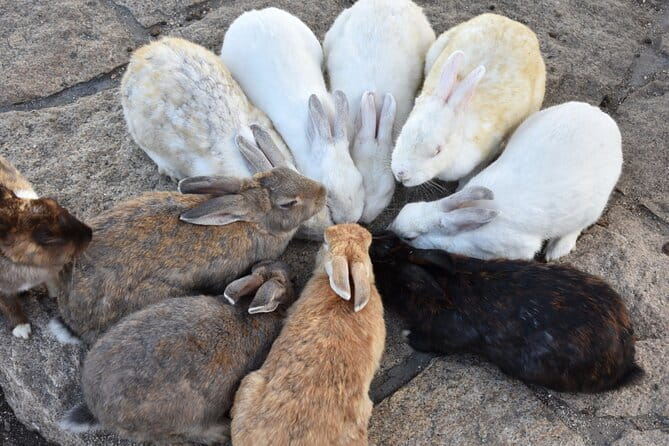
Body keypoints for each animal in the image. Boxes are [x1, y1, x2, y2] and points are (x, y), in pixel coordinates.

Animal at [0, 156, 91, 339]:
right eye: (46, 235)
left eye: (52, 202)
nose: (89, 233)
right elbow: (9, 306)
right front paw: (22, 330)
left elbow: (51, 280)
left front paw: (56, 295)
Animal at [60, 261, 296, 445]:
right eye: (288, 282)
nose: (289, 270)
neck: (249, 311)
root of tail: (97, 410)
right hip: (184, 415)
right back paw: (218, 433)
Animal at [389, 101, 623, 260]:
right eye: (407, 207)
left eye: (409, 238)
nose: (391, 228)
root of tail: (601, 117)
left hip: (592, 207)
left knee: (578, 226)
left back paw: (556, 251)